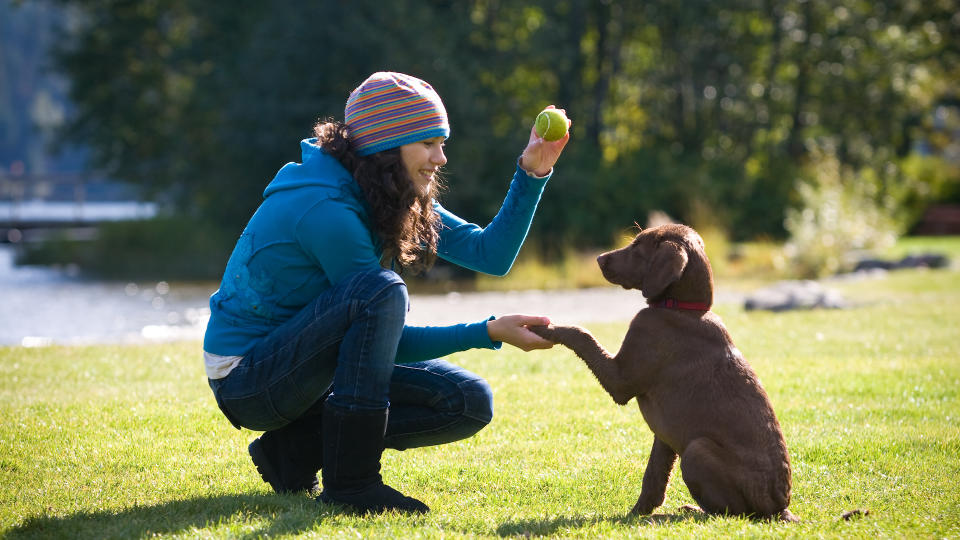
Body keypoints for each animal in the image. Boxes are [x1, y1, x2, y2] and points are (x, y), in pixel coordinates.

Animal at [528, 225, 800, 524]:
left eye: (637, 246)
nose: (599, 259)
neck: (681, 308)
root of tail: (780, 509)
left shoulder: (621, 379)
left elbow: (581, 333)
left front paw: (545, 327)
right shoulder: (665, 435)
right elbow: (654, 477)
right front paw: (637, 512)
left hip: (696, 450)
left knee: (731, 514)